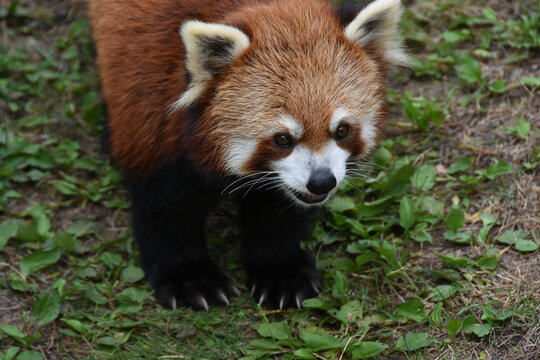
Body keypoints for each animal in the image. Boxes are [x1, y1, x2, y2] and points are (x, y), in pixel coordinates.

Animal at [89, 0, 410, 310]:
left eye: (342, 130)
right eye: (282, 139)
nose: (321, 182)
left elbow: (278, 212)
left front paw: (280, 271)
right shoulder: (150, 116)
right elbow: (165, 210)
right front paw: (189, 277)